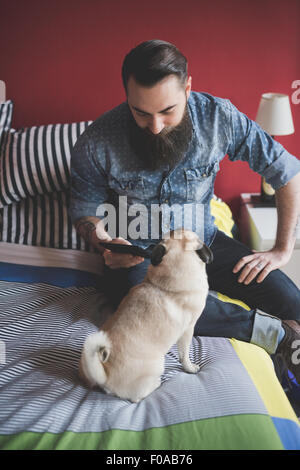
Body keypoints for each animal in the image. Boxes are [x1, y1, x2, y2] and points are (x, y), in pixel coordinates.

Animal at [78, 229, 212, 402]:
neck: (162, 285)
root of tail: (104, 375)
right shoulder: (188, 330)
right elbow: (184, 355)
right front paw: (190, 367)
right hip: (158, 365)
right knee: (138, 397)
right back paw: (156, 384)